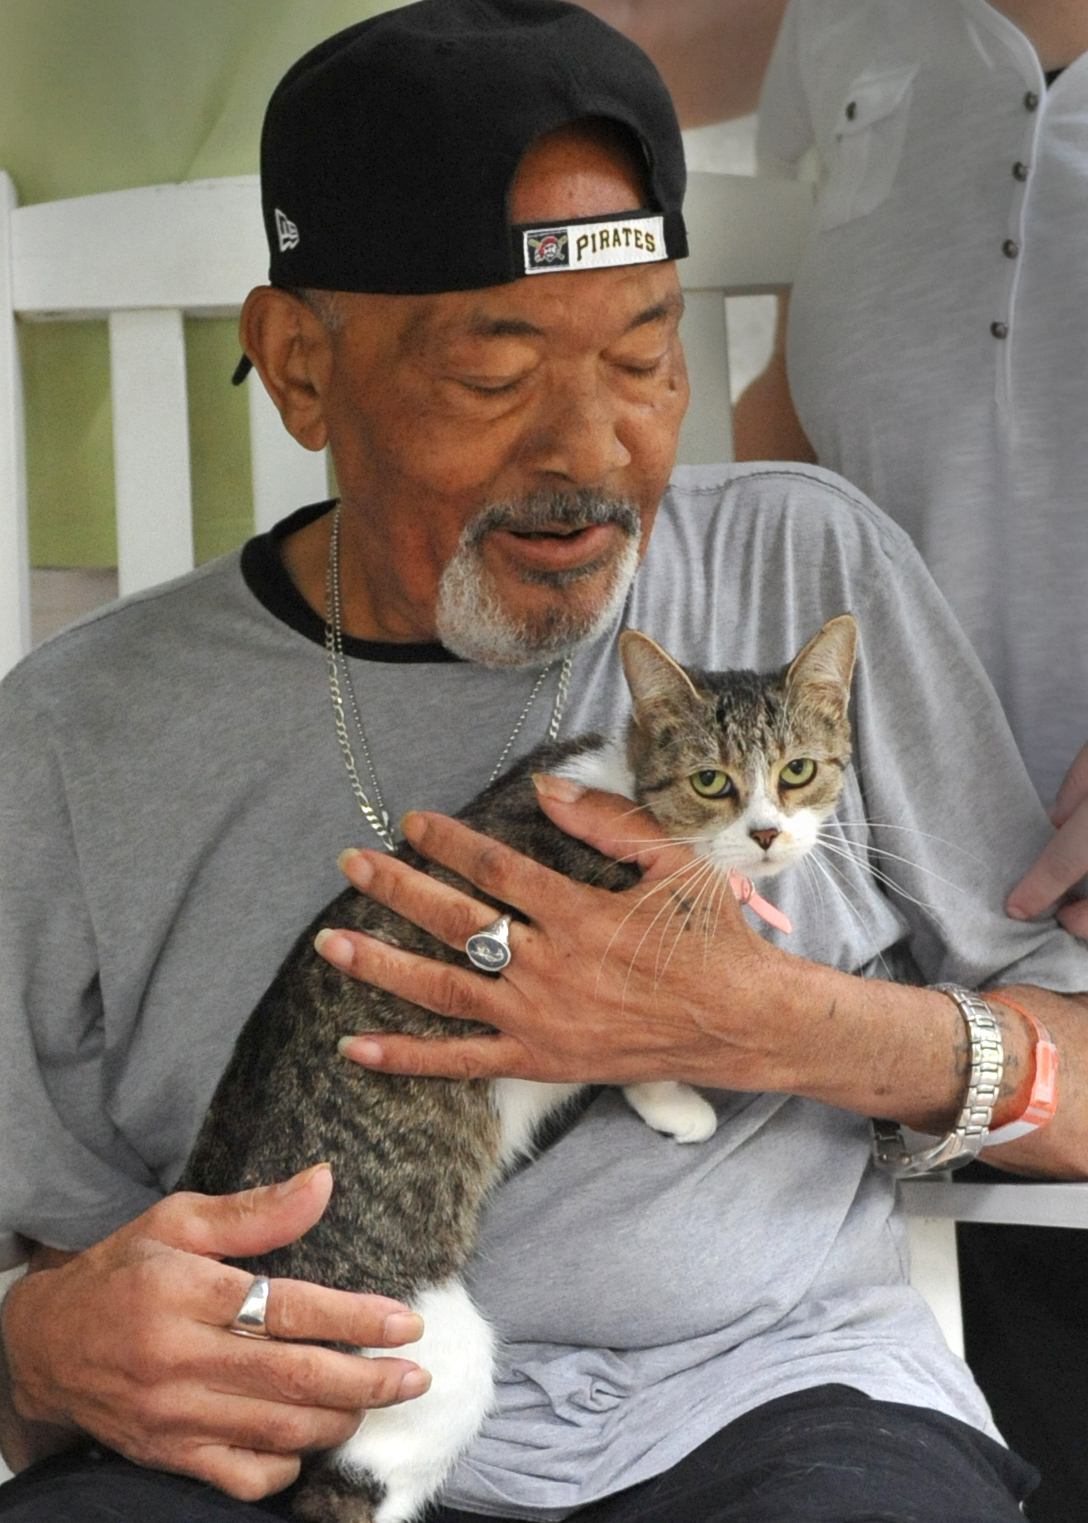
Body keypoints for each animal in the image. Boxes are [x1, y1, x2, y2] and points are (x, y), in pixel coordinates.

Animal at [178, 609, 853, 1523]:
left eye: (798, 770)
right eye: (712, 781)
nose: (767, 834)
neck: (622, 788)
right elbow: (640, 1044)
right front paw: (676, 1100)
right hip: (432, 1361)